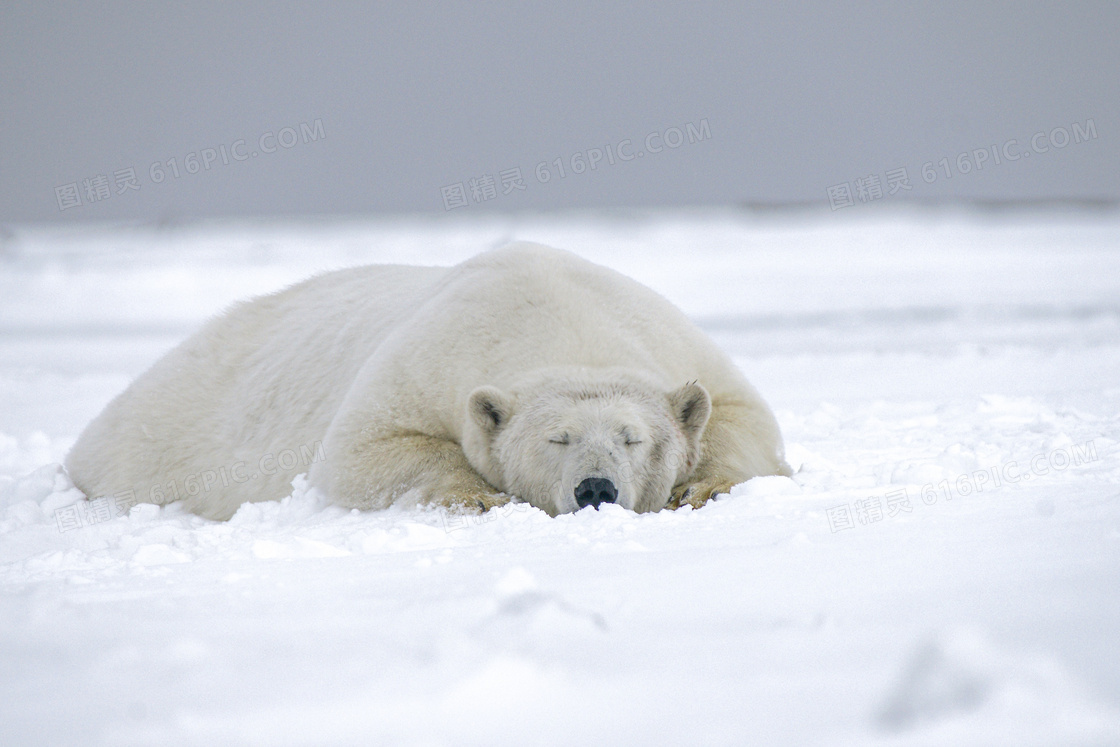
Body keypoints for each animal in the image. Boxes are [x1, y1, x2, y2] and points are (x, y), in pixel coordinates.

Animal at [65, 245, 792, 519]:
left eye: (632, 437)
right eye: (555, 439)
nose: (595, 489)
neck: (556, 315)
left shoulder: (670, 339)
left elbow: (743, 418)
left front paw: (702, 486)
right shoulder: (430, 358)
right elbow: (362, 452)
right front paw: (478, 496)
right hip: (158, 437)